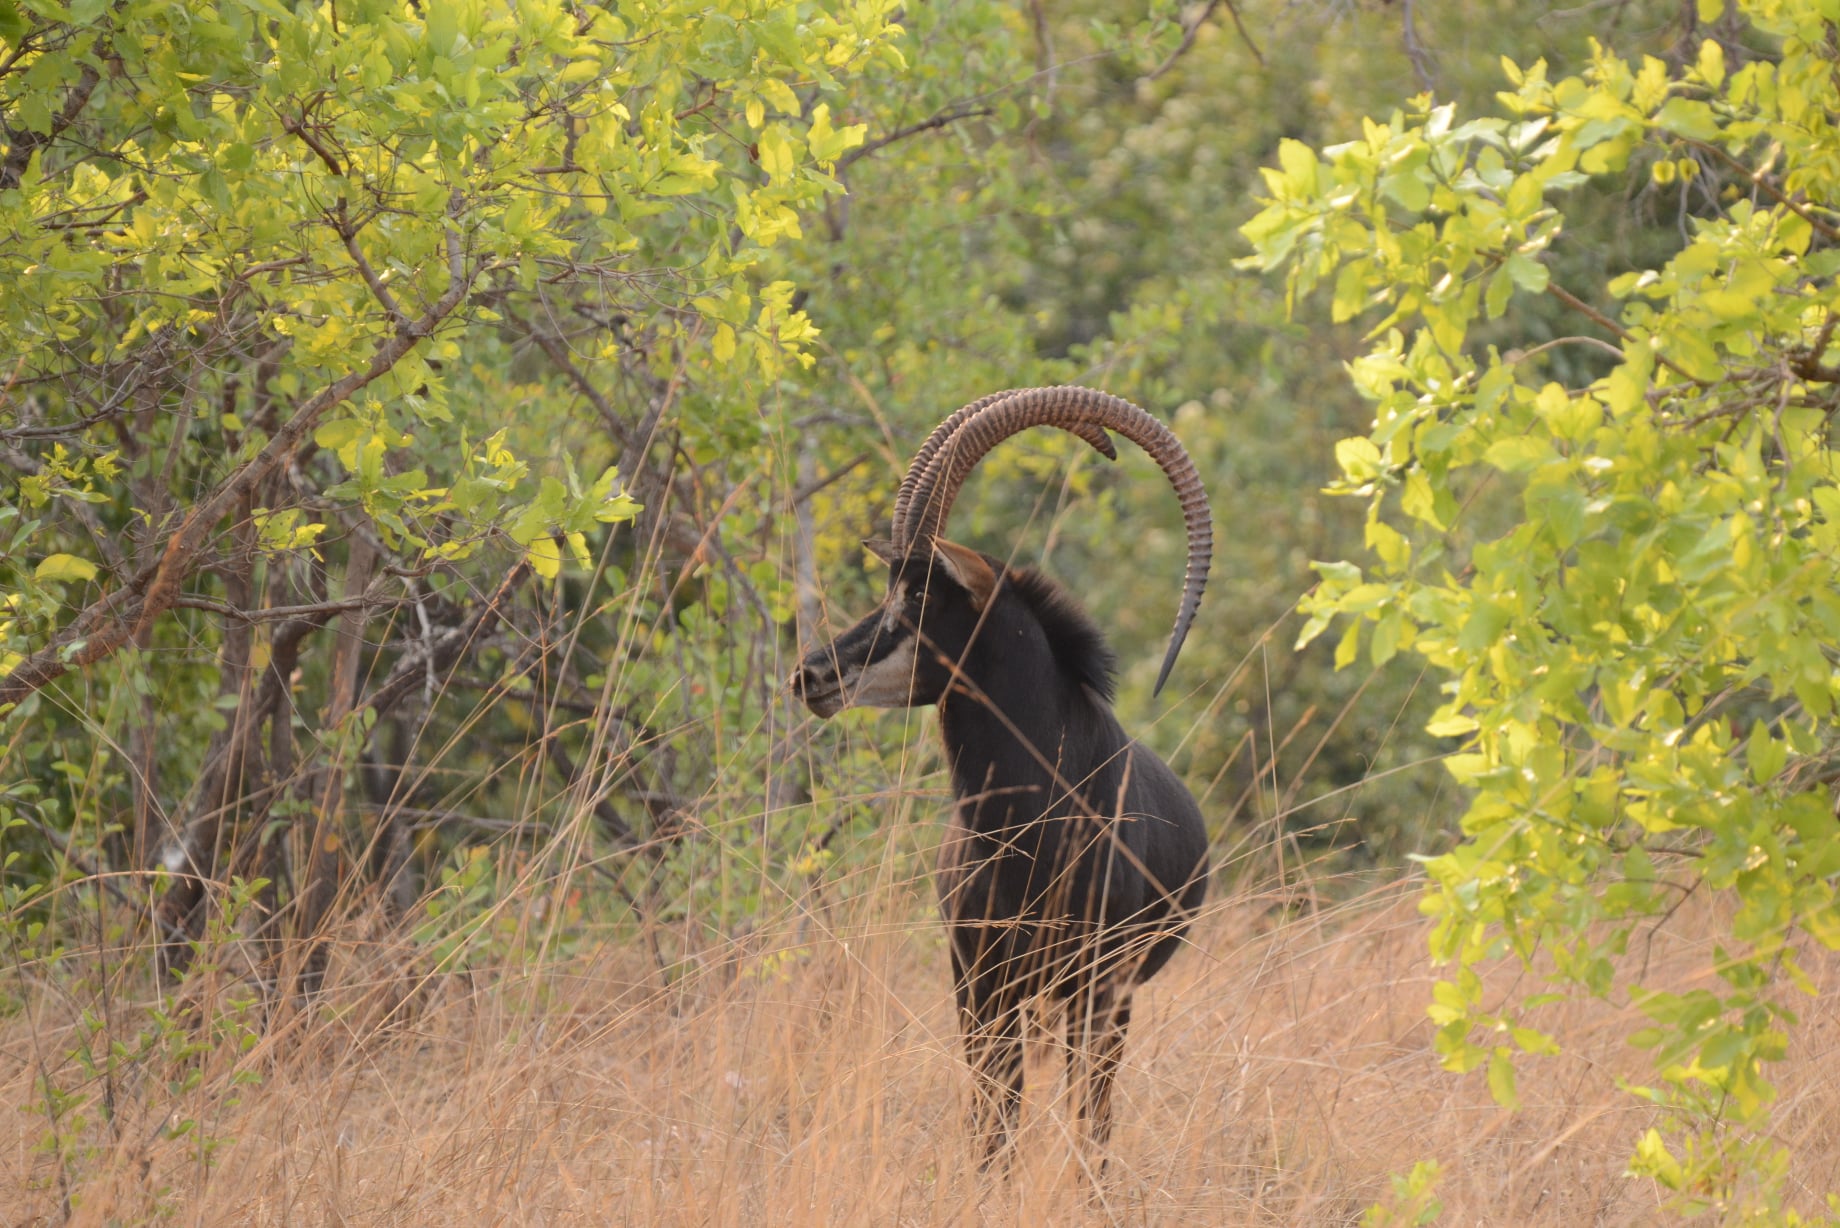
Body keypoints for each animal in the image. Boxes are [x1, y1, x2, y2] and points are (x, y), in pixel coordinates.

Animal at [790, 385, 1213, 1166]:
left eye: (921, 597)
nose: (812, 674)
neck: (1030, 825)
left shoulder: (1098, 988)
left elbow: (1088, 1123)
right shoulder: (976, 982)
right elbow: (992, 1120)